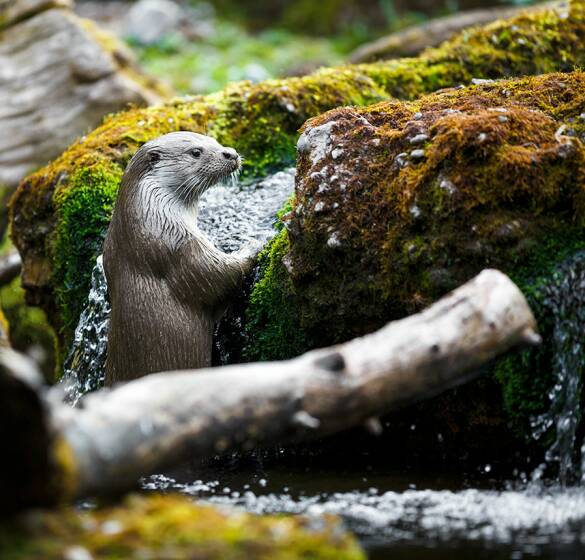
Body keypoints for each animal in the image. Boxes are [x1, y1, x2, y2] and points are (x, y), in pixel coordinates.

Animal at [103, 132, 258, 384]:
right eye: (195, 152)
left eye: (214, 141)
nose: (231, 153)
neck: (148, 216)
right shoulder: (178, 245)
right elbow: (220, 275)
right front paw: (253, 244)